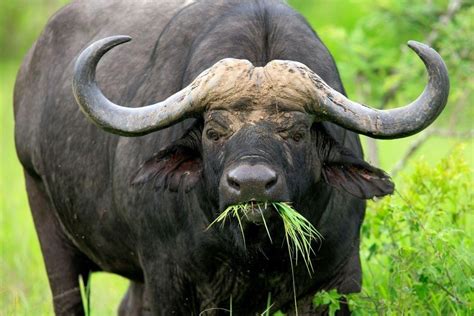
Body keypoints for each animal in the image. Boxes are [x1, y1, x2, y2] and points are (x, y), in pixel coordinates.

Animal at [13, 0, 448, 314]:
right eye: (213, 132)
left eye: (298, 133)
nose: (252, 184)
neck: (254, 249)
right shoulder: (168, 281)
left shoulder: (339, 279)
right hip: (48, 225)